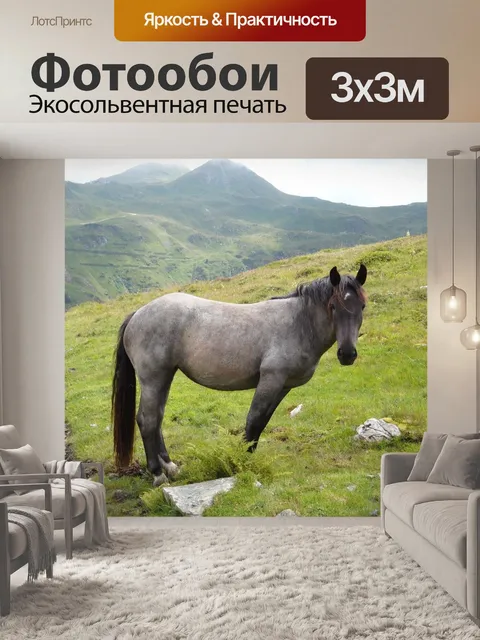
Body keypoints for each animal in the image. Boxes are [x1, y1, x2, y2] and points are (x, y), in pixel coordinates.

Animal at [111, 264, 367, 486]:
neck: (299, 323)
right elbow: (253, 420)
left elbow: (261, 423)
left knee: (157, 418)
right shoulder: (271, 379)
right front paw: (240, 463)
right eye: (333, 306)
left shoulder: (283, 386)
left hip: (165, 377)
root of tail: (138, 313)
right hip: (153, 379)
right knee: (147, 420)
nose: (347, 354)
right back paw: (158, 474)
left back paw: (170, 467)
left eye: (362, 306)